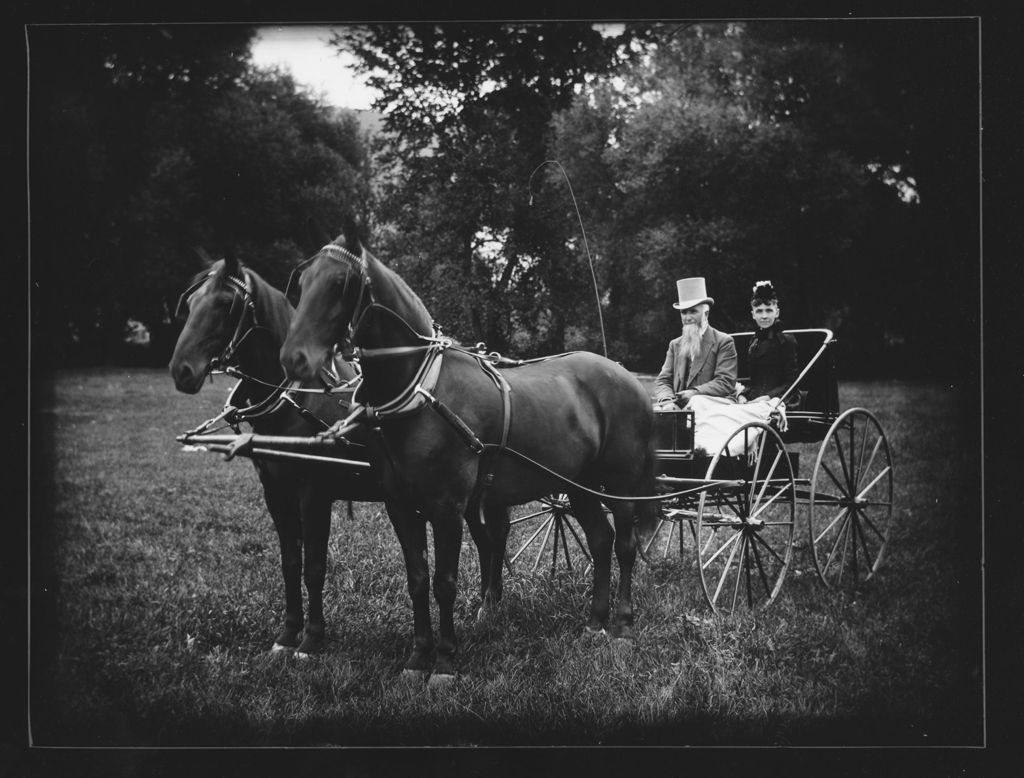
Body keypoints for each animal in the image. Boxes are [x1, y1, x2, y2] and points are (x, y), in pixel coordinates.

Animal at [168, 248, 385, 655]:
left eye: (225, 304)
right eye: (189, 304)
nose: (180, 370)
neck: (295, 399)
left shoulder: (313, 493)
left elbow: (313, 565)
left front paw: (312, 637)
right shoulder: (275, 492)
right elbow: (289, 563)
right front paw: (288, 633)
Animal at [276, 231, 655, 679]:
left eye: (341, 284)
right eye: (301, 283)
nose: (293, 358)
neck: (423, 393)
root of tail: (627, 376)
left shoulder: (448, 507)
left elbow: (445, 581)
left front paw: (444, 659)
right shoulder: (399, 505)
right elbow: (418, 579)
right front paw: (418, 656)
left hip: (621, 484)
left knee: (625, 545)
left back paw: (622, 624)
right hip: (577, 486)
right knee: (600, 540)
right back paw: (596, 621)